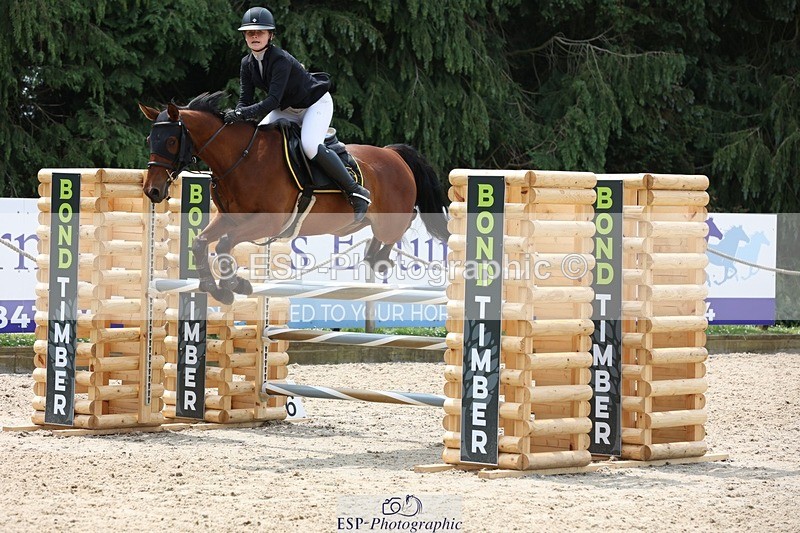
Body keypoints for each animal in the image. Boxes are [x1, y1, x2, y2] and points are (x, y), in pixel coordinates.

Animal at [138, 92, 450, 305]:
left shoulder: (269, 222)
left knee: (403, 223)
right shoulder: (231, 218)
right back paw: (374, 256)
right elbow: (202, 243)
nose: (152, 191)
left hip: (389, 220)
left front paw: (235, 285)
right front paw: (217, 289)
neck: (241, 159)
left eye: (171, 141)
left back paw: (379, 257)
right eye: (150, 140)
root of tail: (393, 154)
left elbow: (225, 244)